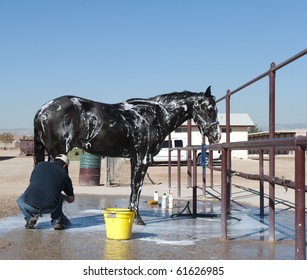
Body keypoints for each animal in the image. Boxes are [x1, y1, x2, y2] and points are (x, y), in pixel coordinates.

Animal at [33, 86, 221, 224]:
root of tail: (42, 110)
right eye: (210, 108)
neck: (154, 116)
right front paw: (137, 219)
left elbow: (133, 188)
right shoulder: (141, 159)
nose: (217, 135)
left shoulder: (134, 159)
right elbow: (136, 188)